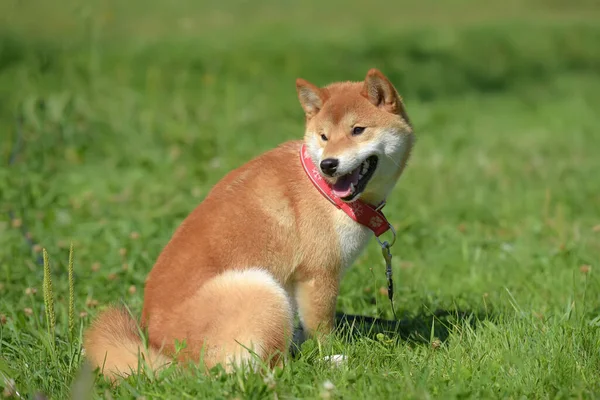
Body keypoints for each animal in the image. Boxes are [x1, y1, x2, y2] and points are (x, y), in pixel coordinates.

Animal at [83, 69, 412, 382]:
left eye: (358, 130)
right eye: (323, 136)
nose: (328, 164)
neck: (322, 189)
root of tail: (165, 356)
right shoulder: (319, 276)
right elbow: (322, 333)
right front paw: (329, 351)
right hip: (262, 290)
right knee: (274, 368)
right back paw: (329, 364)